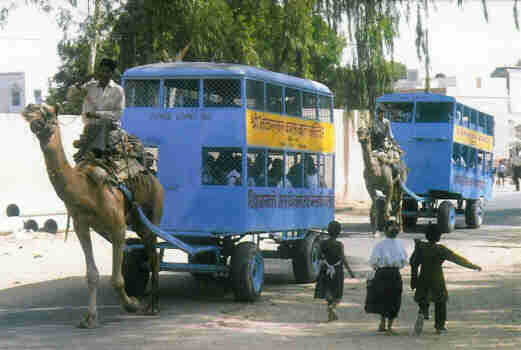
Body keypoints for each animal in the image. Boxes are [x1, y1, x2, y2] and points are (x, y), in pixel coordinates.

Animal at [21, 104, 164, 328]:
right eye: (34, 106)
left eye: (47, 112)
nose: (28, 110)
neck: (85, 190)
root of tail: (152, 174)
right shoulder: (81, 226)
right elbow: (92, 275)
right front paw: (89, 318)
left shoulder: (118, 228)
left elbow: (116, 279)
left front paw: (132, 304)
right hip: (137, 222)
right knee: (151, 253)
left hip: (155, 209)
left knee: (154, 255)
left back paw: (153, 306)